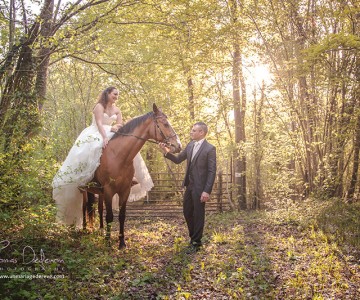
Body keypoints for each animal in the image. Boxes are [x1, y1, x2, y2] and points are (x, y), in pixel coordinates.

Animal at [80, 103, 181, 248]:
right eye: (165, 124)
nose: (178, 145)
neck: (117, 155)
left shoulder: (125, 190)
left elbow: (122, 216)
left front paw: (121, 243)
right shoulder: (109, 191)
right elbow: (109, 216)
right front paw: (108, 242)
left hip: (100, 192)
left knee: (98, 209)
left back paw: (100, 231)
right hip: (83, 190)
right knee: (83, 208)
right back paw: (84, 229)